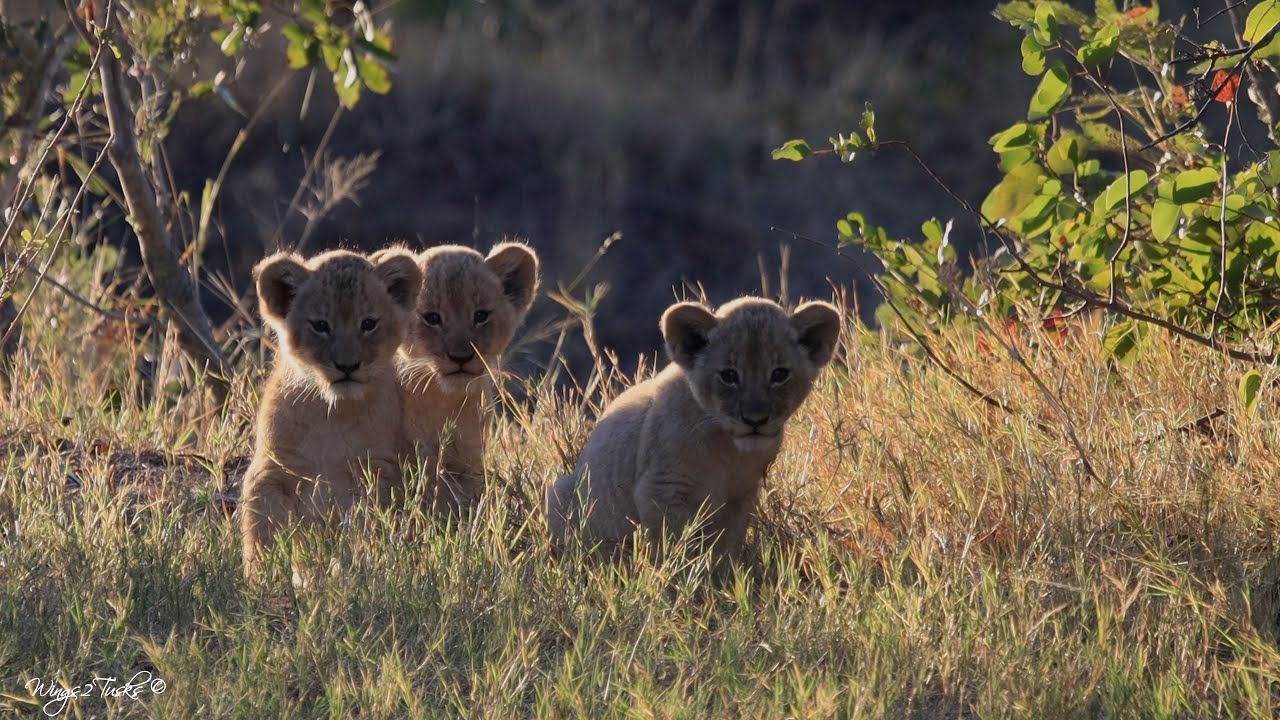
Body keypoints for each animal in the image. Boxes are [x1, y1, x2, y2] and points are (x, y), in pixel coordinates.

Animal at [239, 248, 422, 579]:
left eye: (368, 323)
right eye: (321, 325)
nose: (347, 366)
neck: (331, 414)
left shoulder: (376, 471)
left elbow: (363, 528)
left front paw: (353, 570)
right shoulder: (272, 468)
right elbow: (262, 529)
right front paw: (263, 578)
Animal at [546, 297, 842, 568]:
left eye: (779, 374)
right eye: (729, 375)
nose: (755, 420)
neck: (729, 451)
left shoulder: (740, 498)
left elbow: (724, 550)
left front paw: (721, 584)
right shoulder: (660, 491)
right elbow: (675, 551)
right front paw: (680, 586)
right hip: (560, 493)